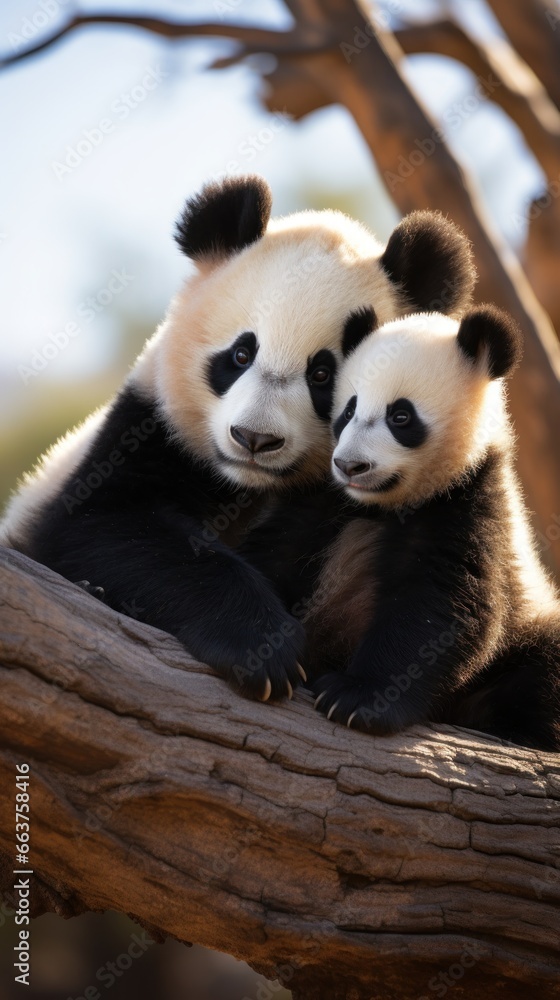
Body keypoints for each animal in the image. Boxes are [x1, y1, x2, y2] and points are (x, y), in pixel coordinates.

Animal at [0, 172, 474, 704]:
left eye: (323, 374)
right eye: (241, 354)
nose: (254, 438)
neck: (249, 485)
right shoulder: (147, 429)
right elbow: (104, 526)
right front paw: (262, 646)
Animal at [306, 304, 560, 752]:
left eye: (400, 416)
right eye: (348, 411)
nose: (350, 466)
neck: (386, 507)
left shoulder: (471, 504)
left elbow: (443, 608)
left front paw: (356, 698)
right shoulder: (328, 503)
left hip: (527, 625)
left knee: (544, 670)